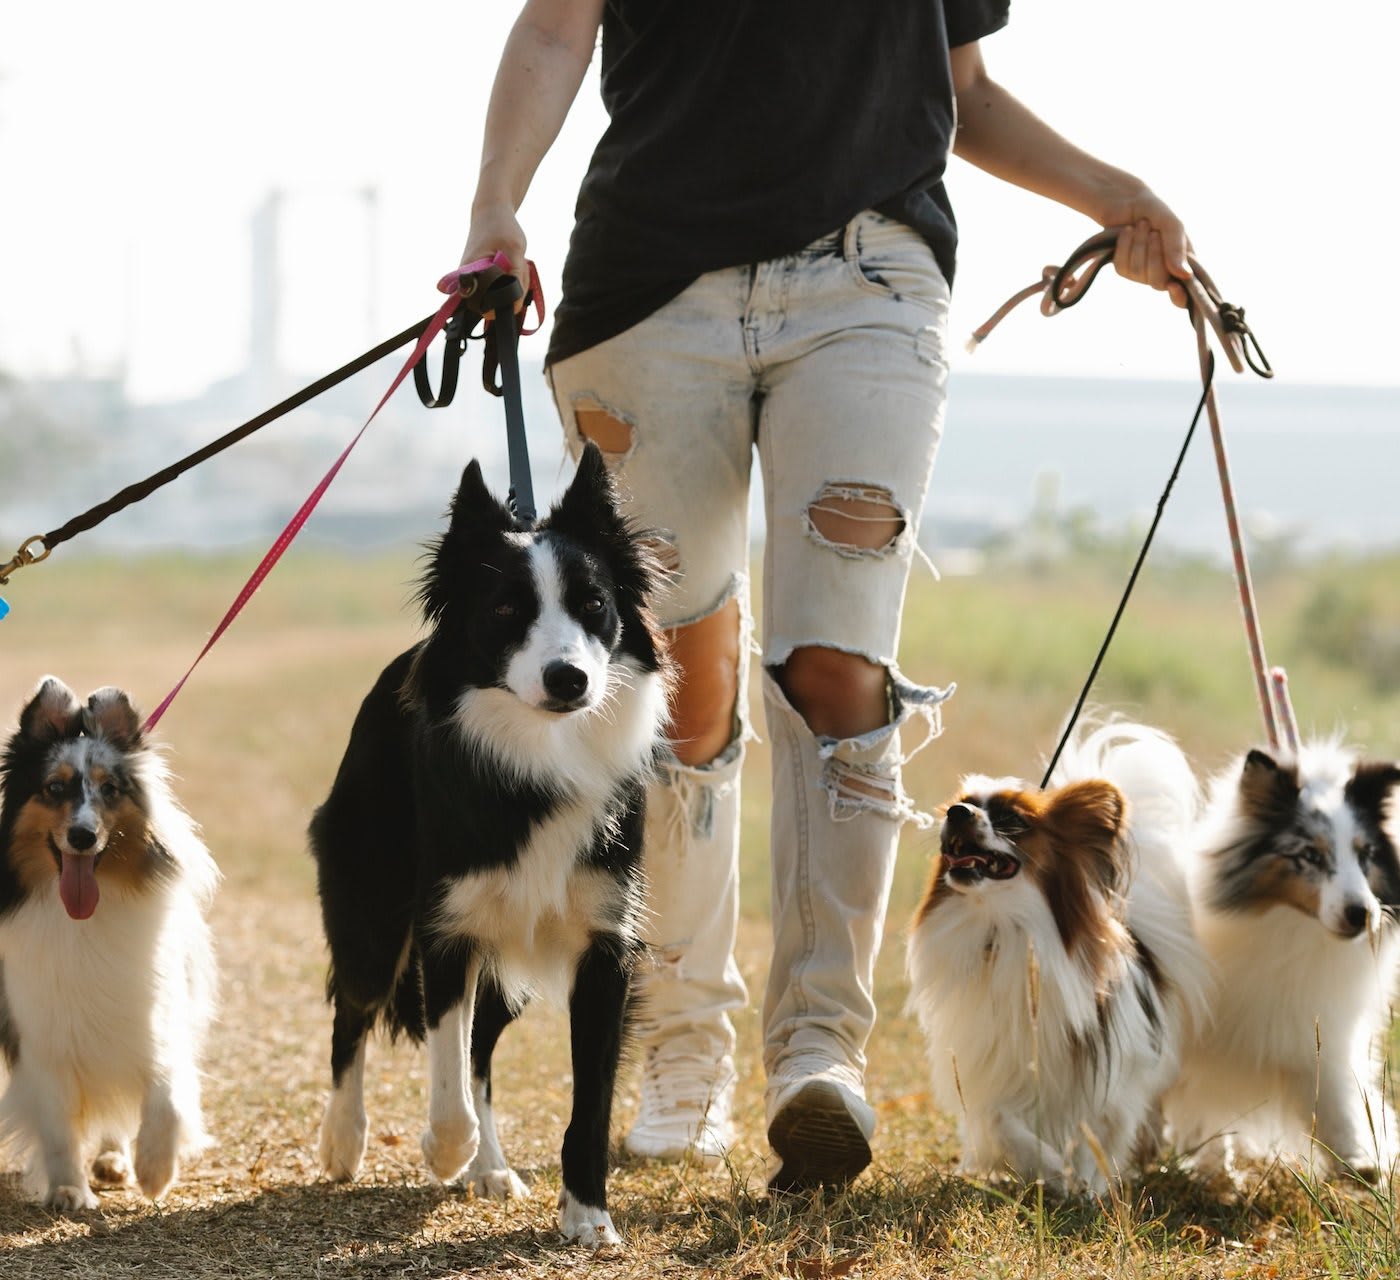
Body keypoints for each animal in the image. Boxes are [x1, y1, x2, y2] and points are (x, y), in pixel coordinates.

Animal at [0, 677, 217, 1209]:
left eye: (110, 789)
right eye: (54, 788)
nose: (82, 836)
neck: (83, 921)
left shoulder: (152, 1014)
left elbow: (166, 1094)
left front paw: (155, 1170)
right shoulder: (41, 1036)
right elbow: (58, 1127)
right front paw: (67, 1190)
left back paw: (117, 1159)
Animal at [310, 445, 666, 1243]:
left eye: (594, 605)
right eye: (506, 611)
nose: (569, 679)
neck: (540, 753)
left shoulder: (607, 941)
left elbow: (588, 1097)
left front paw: (588, 1215)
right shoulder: (447, 926)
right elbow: (446, 1073)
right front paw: (444, 1150)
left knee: (481, 1049)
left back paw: (492, 1167)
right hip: (372, 900)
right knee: (355, 1010)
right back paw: (346, 1141)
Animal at [907, 722, 1204, 1193]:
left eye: (1012, 819)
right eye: (966, 802)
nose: (956, 812)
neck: (1003, 928)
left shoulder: (1108, 1076)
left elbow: (1096, 1134)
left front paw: (1084, 1185)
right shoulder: (992, 1062)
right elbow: (1001, 1121)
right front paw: (1049, 1170)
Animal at [1159, 739, 1400, 1176]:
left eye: (1366, 854)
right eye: (1310, 855)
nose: (1362, 914)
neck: (1294, 933)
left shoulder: (1317, 1034)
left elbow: (1336, 1098)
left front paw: (1361, 1160)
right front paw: (1213, 1165)